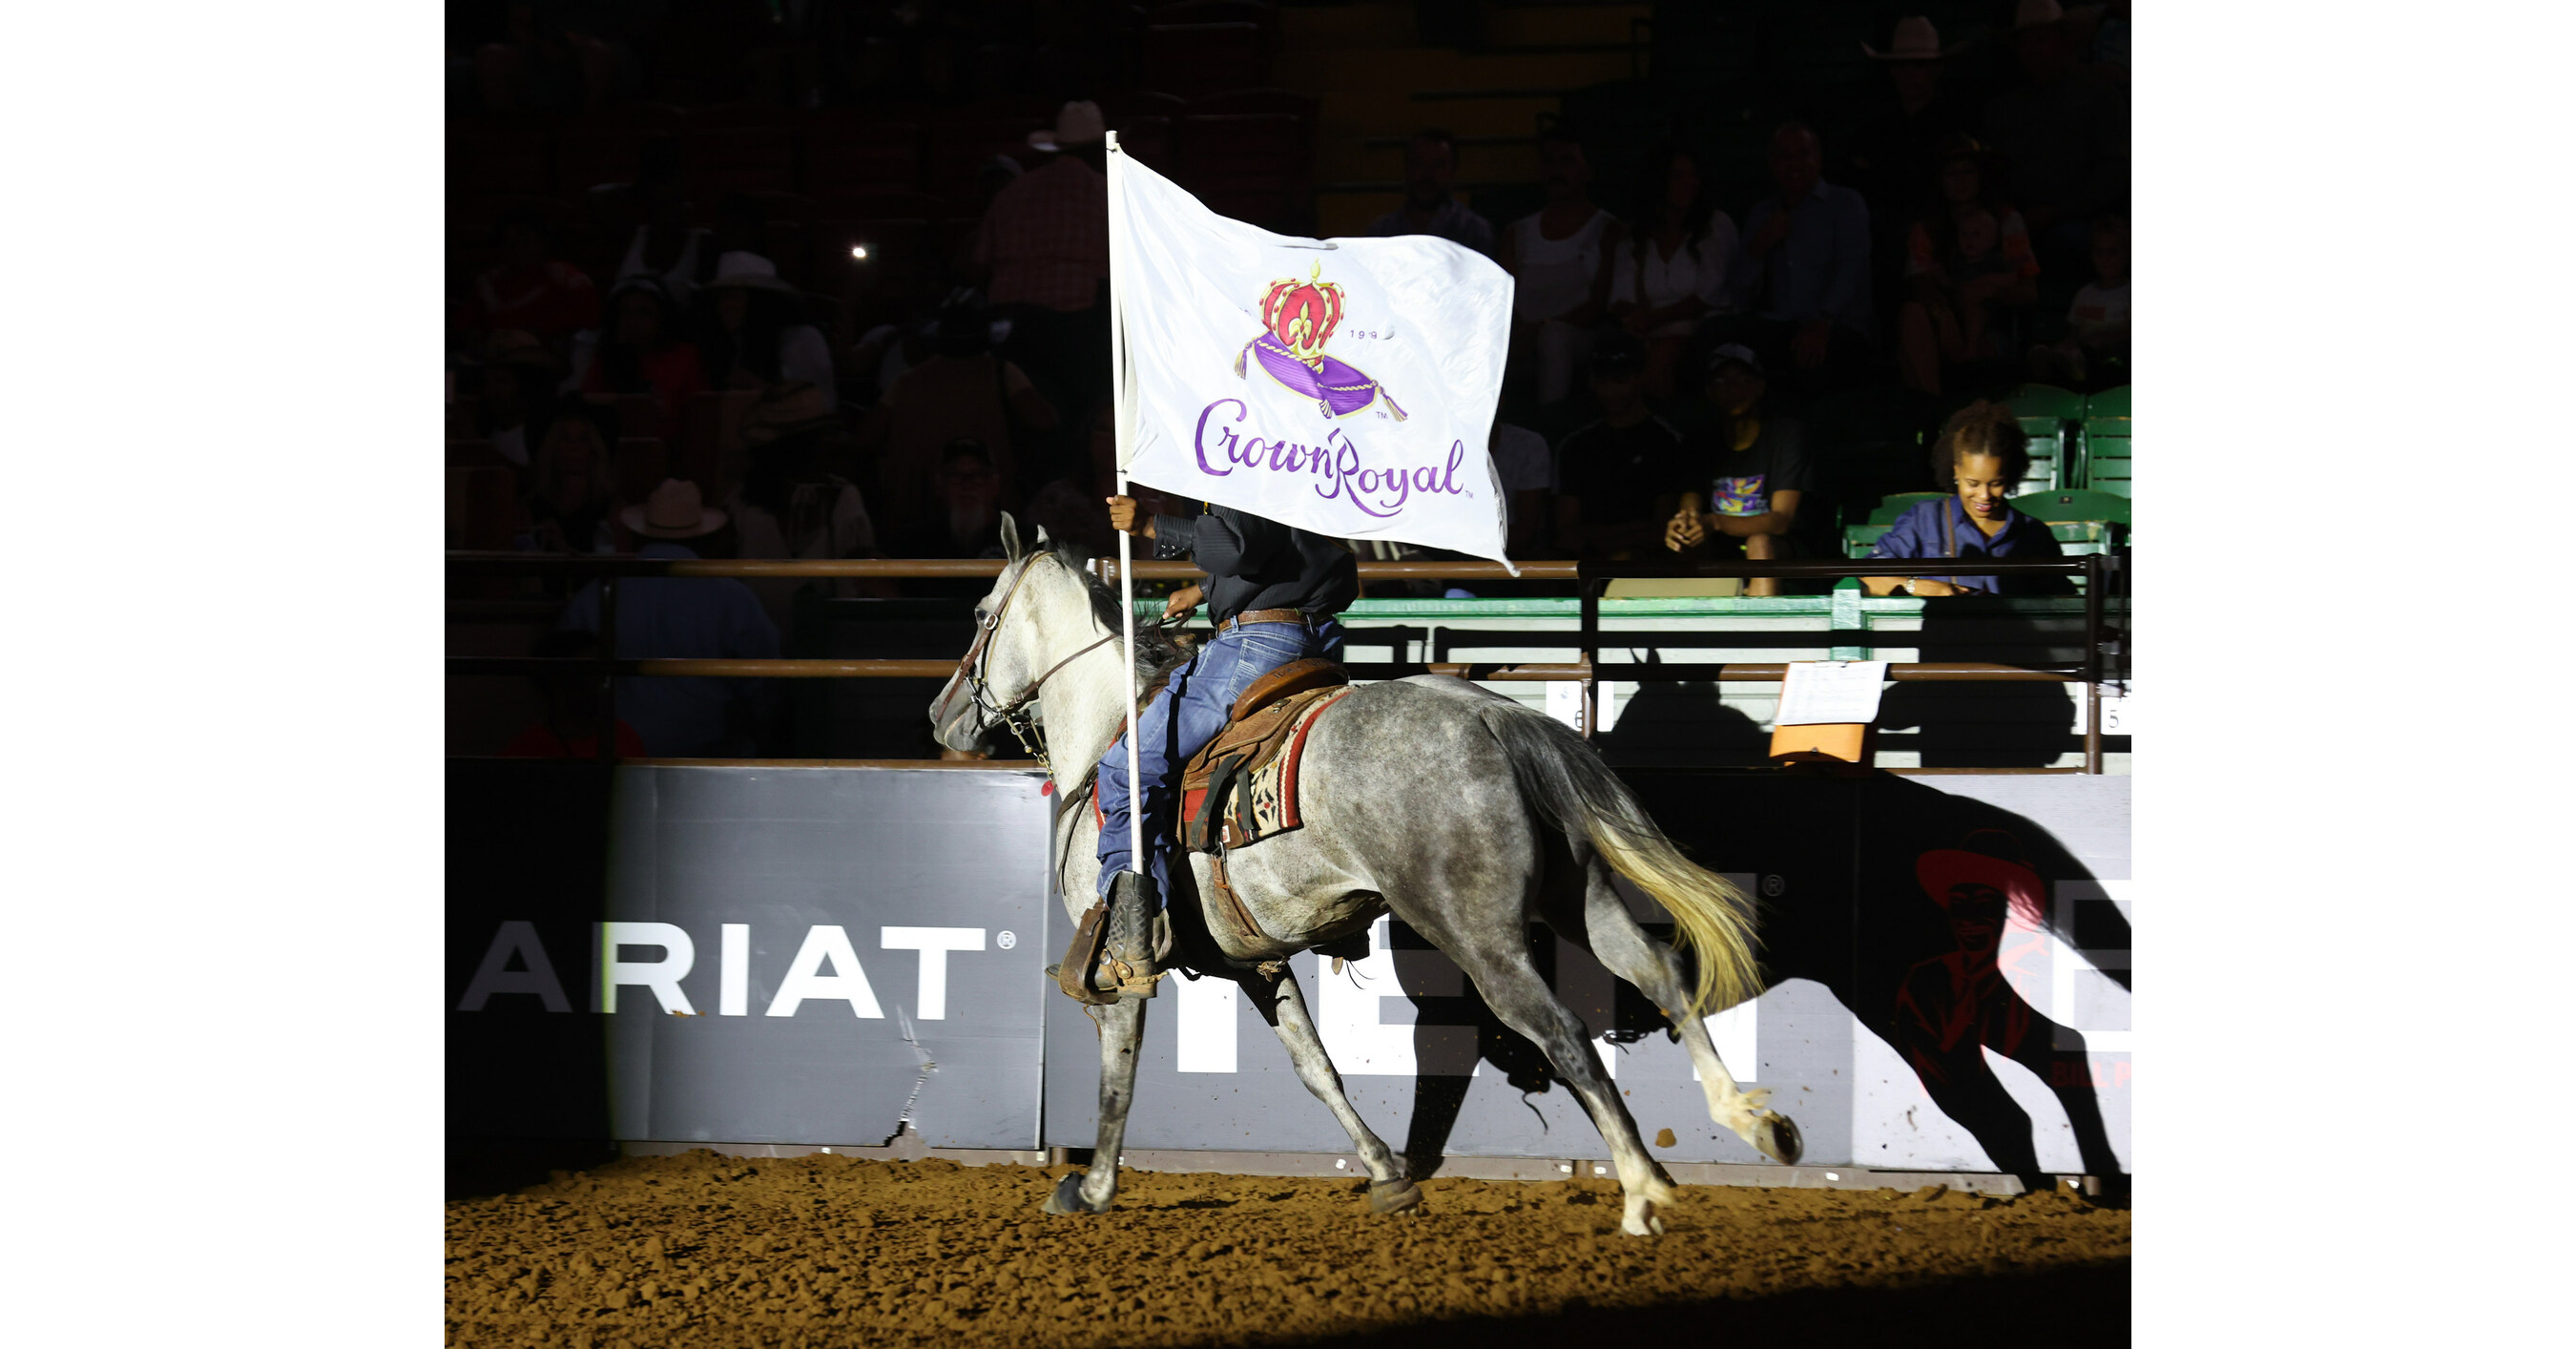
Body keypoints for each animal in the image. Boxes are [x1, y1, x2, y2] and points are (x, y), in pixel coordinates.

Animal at [937, 522, 1803, 1240]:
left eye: (980, 613)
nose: (941, 718)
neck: (1111, 723)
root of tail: (1492, 716)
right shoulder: (1258, 962)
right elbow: (1316, 1068)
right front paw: (1388, 1174)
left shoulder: (1122, 971)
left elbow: (1118, 1075)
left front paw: (1090, 1188)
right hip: (1578, 895)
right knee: (1658, 972)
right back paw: (1751, 1123)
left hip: (1480, 935)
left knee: (1563, 1033)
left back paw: (1643, 1191)